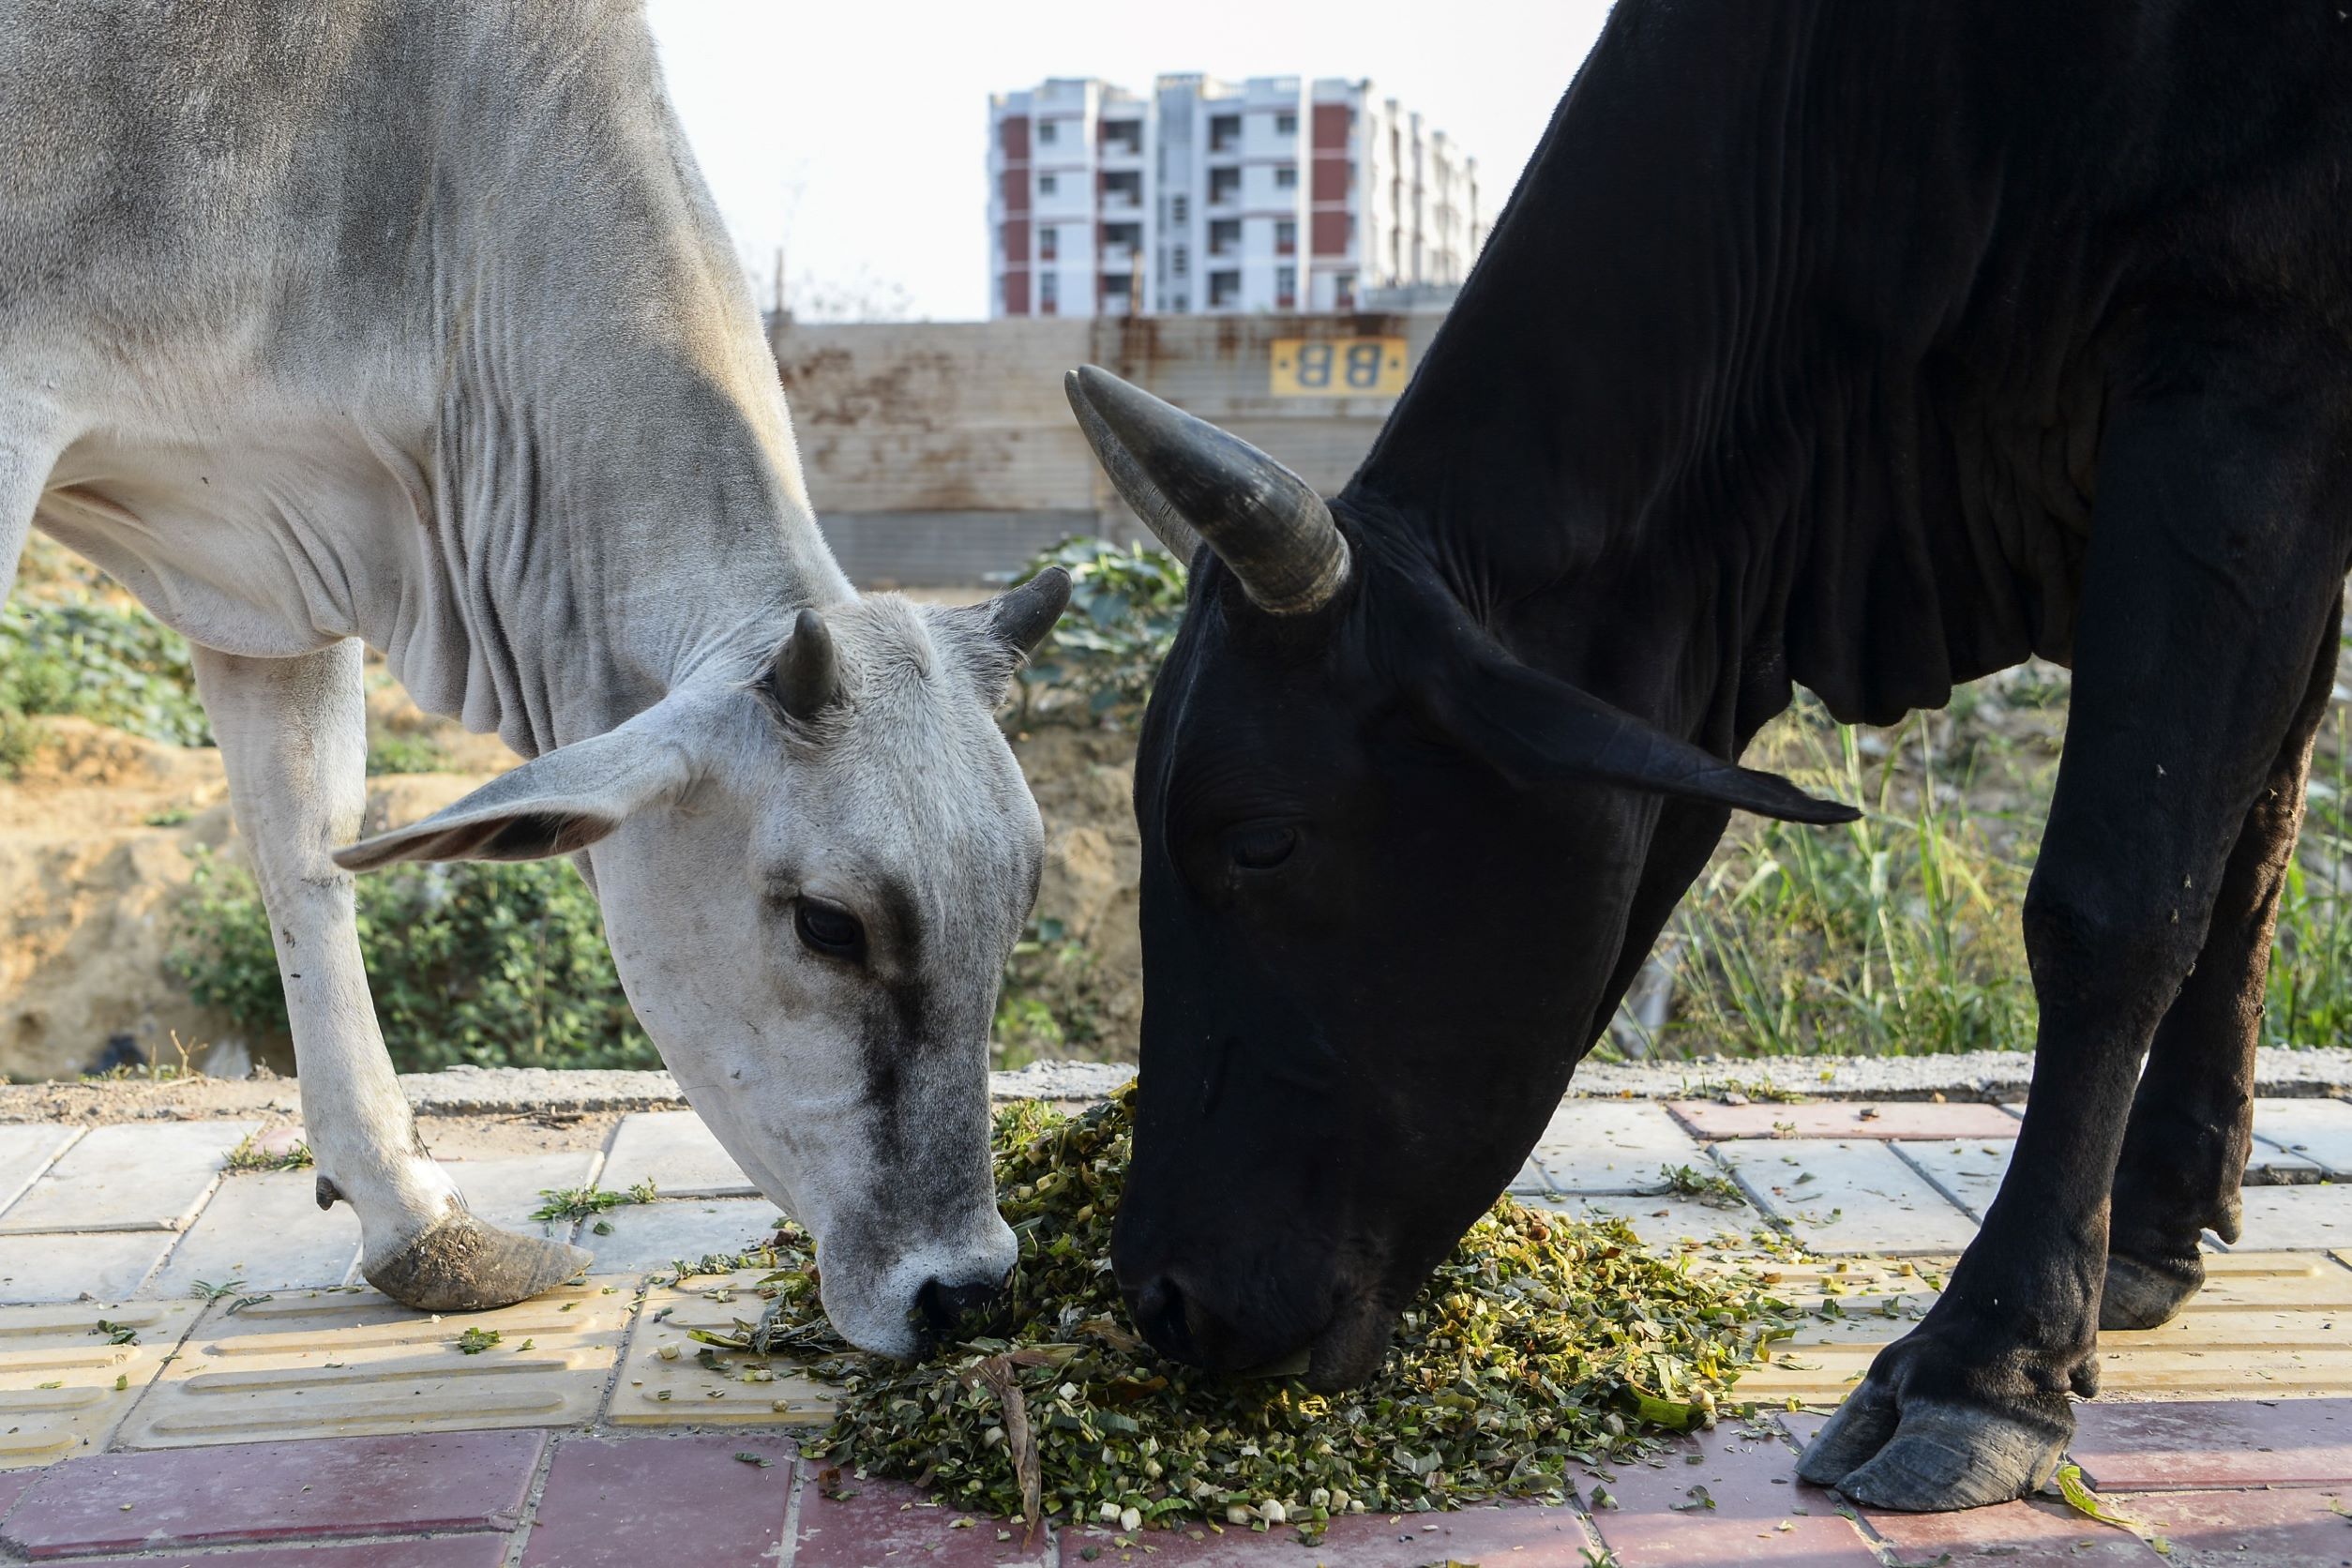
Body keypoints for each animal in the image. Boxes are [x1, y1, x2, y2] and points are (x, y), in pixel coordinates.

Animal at [0, 0, 1068, 1358]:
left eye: (1020, 896)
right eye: (828, 922)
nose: (965, 1289)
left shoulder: (272, 576)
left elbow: (305, 840)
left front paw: (415, 1221)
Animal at [1064, 0, 2352, 1513]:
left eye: (1261, 839)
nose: (1158, 1296)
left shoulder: (2245, 383)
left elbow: (2118, 899)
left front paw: (1989, 1357)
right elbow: (2251, 848)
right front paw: (2151, 1224)